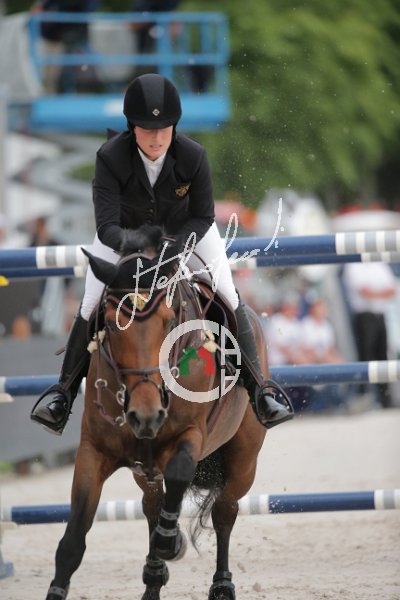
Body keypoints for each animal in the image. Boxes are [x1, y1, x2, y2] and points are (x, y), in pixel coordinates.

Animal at [44, 226, 268, 600]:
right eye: (109, 323)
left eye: (170, 321)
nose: (145, 415)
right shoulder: (94, 451)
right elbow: (72, 540)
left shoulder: (191, 436)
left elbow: (179, 473)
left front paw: (169, 541)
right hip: (144, 470)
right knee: (152, 505)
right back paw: (153, 576)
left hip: (243, 459)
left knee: (224, 511)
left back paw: (220, 584)